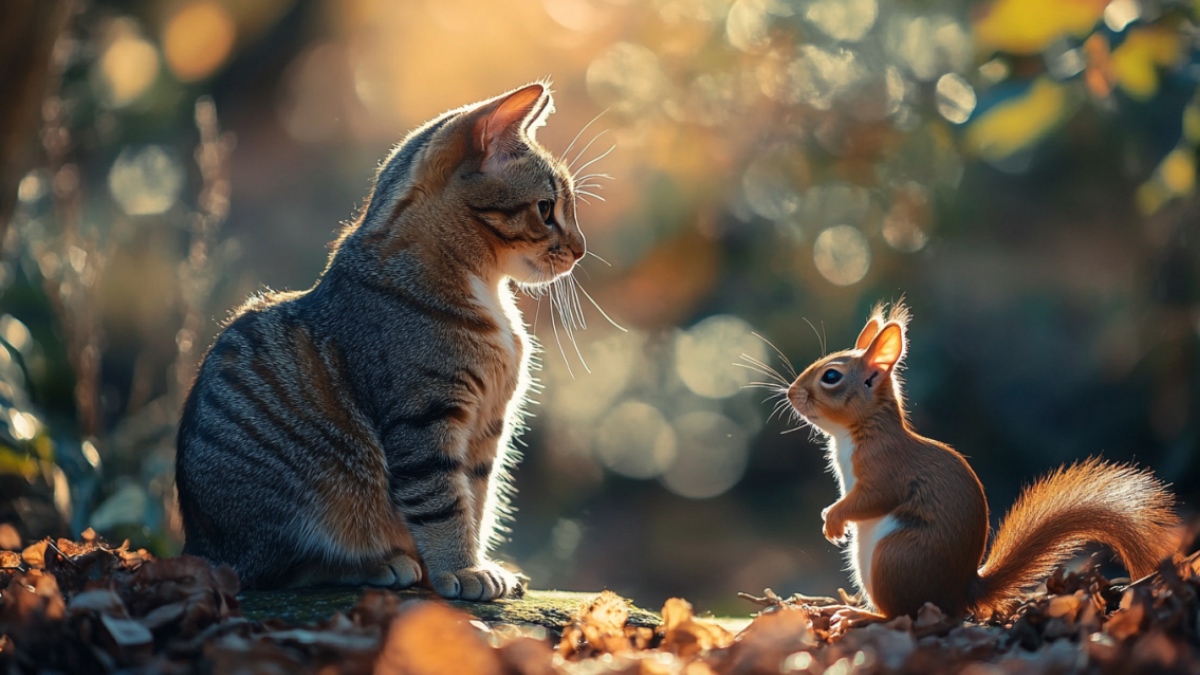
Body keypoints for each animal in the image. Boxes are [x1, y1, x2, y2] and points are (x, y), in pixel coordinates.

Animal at [176, 82, 585, 598]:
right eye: (546, 209)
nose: (581, 250)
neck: (485, 292)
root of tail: (197, 545)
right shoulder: (423, 418)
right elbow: (444, 505)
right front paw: (462, 570)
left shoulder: (487, 429)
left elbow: (476, 500)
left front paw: (473, 563)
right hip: (296, 505)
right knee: (282, 571)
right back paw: (378, 565)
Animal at [782, 302, 1176, 624]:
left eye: (831, 376)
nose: (790, 392)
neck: (856, 433)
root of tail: (961, 595)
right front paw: (832, 518)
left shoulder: (886, 470)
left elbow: (871, 499)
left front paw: (833, 519)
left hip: (894, 557)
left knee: (900, 615)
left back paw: (857, 615)